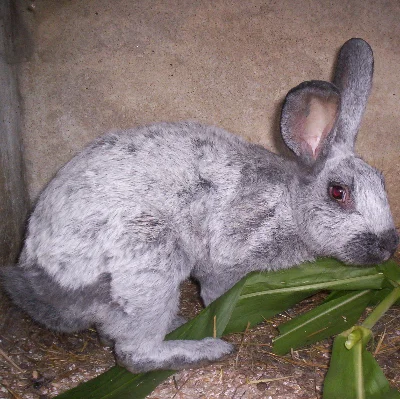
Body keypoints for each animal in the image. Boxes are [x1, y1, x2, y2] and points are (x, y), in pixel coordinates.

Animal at [2, 38, 398, 373]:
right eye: (338, 193)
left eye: (382, 182)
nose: (388, 245)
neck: (288, 204)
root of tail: (42, 278)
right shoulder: (228, 254)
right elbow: (213, 292)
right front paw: (229, 312)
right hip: (150, 263)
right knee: (134, 354)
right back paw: (206, 347)